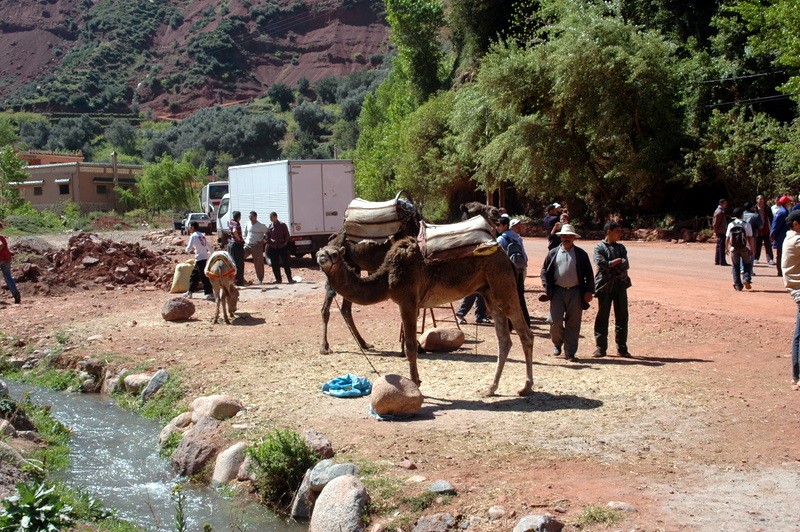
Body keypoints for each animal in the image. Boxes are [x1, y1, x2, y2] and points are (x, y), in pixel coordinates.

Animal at [316, 235, 536, 396]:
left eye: (335, 254)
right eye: (321, 251)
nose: (321, 258)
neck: (387, 277)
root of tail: (507, 259)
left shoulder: (407, 300)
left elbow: (410, 346)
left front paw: (415, 383)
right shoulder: (409, 303)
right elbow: (410, 343)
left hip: (503, 285)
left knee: (525, 334)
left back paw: (525, 387)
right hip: (489, 293)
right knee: (504, 340)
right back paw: (490, 388)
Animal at [320, 198, 500, 354]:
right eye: (476, 209)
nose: (497, 212)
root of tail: (334, 237)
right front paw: (412, 347)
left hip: (355, 267)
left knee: (346, 308)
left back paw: (364, 344)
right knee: (326, 307)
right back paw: (325, 347)